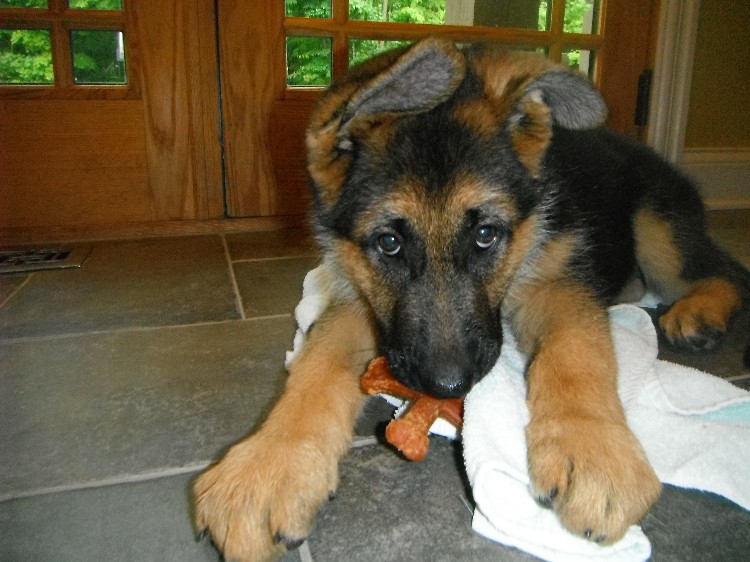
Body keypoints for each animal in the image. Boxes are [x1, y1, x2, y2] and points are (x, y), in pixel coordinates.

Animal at [195, 39, 750, 560]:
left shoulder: (558, 282)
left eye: (486, 235)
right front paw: (269, 466)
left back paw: (699, 311)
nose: (448, 386)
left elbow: (577, 348)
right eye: (389, 243)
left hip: (657, 230)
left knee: (725, 271)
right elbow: (316, 361)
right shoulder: (366, 302)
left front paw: (594, 446)